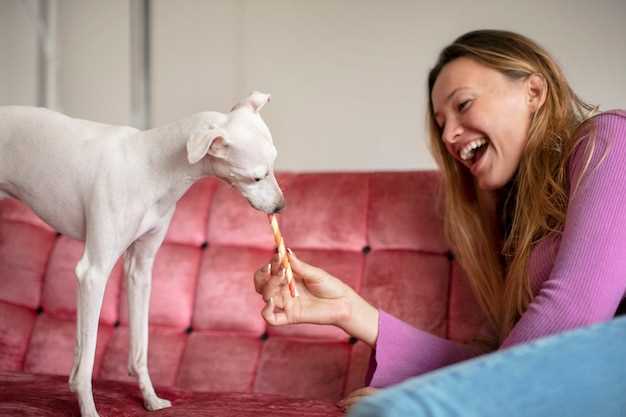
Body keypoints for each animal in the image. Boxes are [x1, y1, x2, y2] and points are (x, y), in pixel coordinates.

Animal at [0, 92, 282, 416]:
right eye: (257, 177)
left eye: (275, 164)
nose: (281, 206)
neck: (150, 167)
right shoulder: (92, 273)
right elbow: (89, 355)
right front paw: (88, 407)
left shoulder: (140, 270)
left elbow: (137, 346)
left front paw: (150, 398)